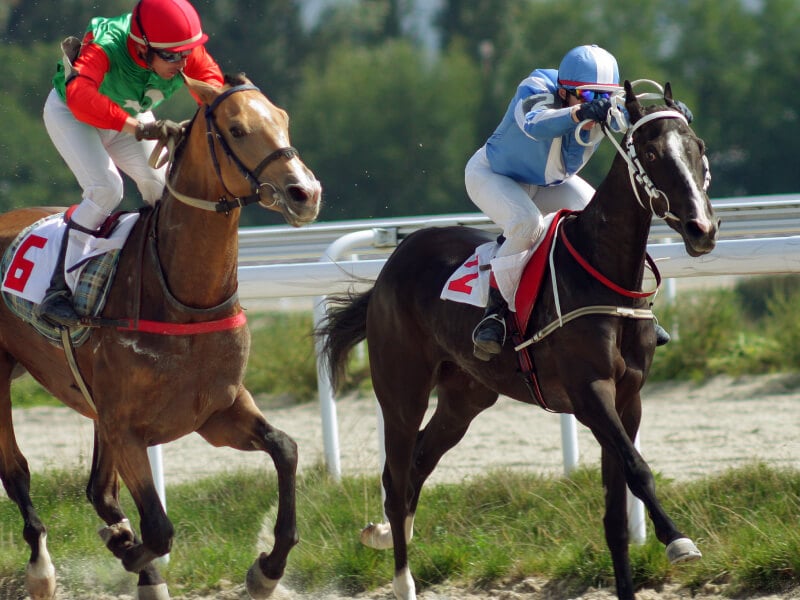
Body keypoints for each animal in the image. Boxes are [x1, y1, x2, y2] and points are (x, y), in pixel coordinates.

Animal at [0, 73, 321, 600]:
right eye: (236, 129)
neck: (183, 296)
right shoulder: (127, 428)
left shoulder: (216, 411)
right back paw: (42, 568)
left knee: (99, 490)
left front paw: (268, 568)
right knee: (17, 471)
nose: (305, 193)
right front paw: (128, 551)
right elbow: (158, 528)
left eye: (283, 118)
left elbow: (285, 448)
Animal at [317, 81, 718, 600]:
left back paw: (386, 534)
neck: (602, 274)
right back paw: (403, 580)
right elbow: (639, 470)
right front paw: (678, 541)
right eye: (650, 153)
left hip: (465, 397)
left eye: (698, 147)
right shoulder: (591, 395)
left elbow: (616, 513)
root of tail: (390, 267)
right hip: (400, 391)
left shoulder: (628, 398)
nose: (702, 230)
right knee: (398, 473)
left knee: (419, 464)